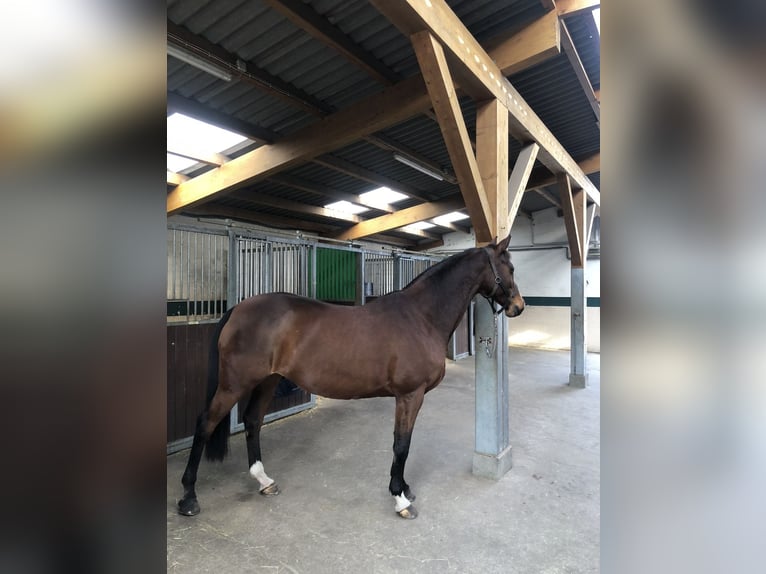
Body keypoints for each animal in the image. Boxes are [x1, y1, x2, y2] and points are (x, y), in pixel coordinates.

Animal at [179, 234, 524, 520]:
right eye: (510, 268)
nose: (518, 307)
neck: (420, 317)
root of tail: (238, 309)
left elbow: (404, 442)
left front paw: (404, 488)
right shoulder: (409, 395)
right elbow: (402, 444)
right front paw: (400, 499)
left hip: (267, 380)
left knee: (252, 421)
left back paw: (264, 481)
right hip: (234, 383)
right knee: (205, 424)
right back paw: (189, 497)